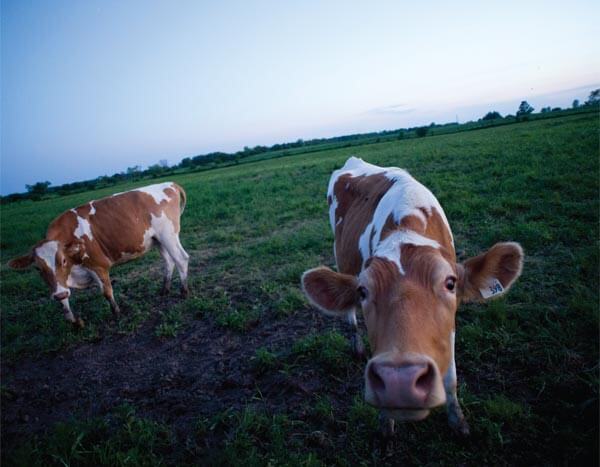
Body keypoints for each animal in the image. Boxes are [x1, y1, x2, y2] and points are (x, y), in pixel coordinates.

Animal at [7, 181, 190, 328]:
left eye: (63, 260)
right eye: (38, 268)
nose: (59, 293)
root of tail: (170, 184)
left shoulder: (98, 265)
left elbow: (107, 292)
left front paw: (116, 313)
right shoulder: (59, 282)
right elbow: (63, 302)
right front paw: (75, 322)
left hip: (168, 235)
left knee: (181, 259)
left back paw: (184, 292)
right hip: (158, 240)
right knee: (169, 262)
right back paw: (164, 290)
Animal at [302, 157, 524, 436]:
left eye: (450, 283)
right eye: (363, 291)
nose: (400, 382)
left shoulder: (449, 326)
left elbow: (451, 378)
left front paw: (458, 421)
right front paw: (386, 424)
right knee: (349, 314)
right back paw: (357, 346)